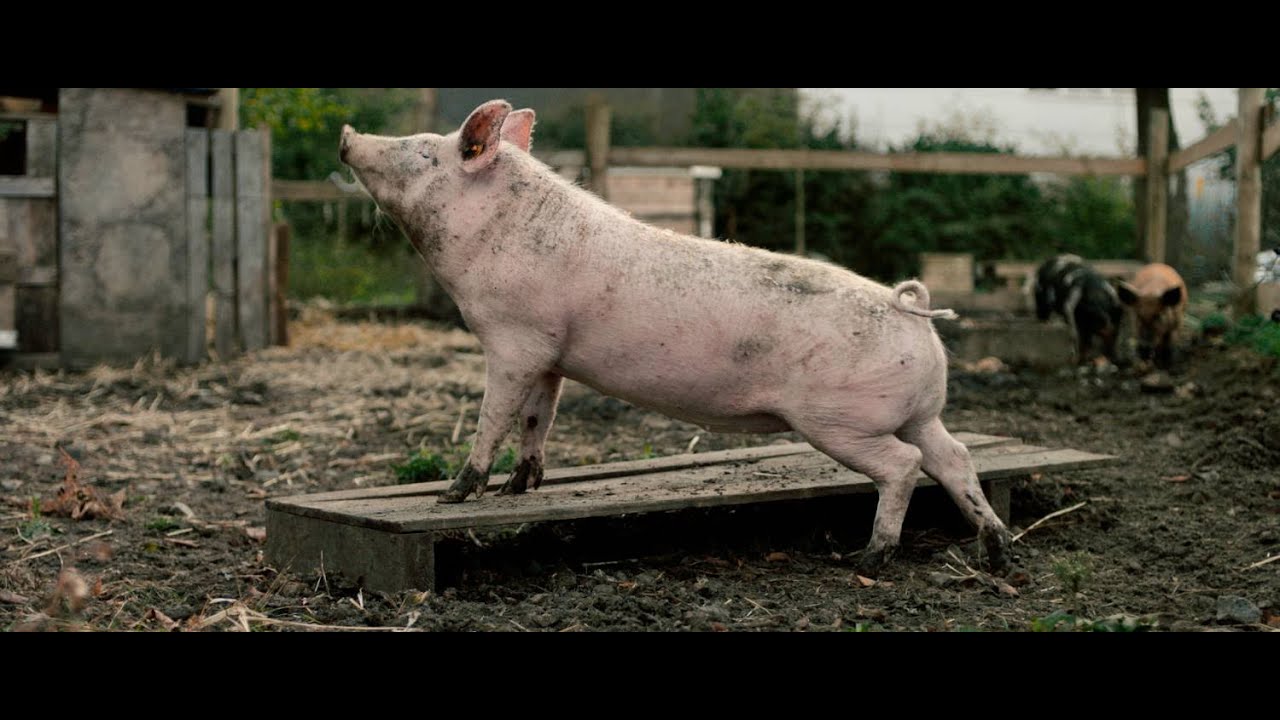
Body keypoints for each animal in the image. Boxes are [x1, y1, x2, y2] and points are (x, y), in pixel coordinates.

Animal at [339, 100, 1010, 574]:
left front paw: (455, 496)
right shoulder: (548, 352)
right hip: (920, 414)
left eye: (425, 153)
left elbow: (494, 416)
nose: (346, 134)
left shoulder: (513, 340)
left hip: (842, 422)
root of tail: (910, 312)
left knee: (905, 466)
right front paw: (518, 487)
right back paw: (997, 549)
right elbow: (537, 418)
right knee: (955, 457)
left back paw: (867, 559)